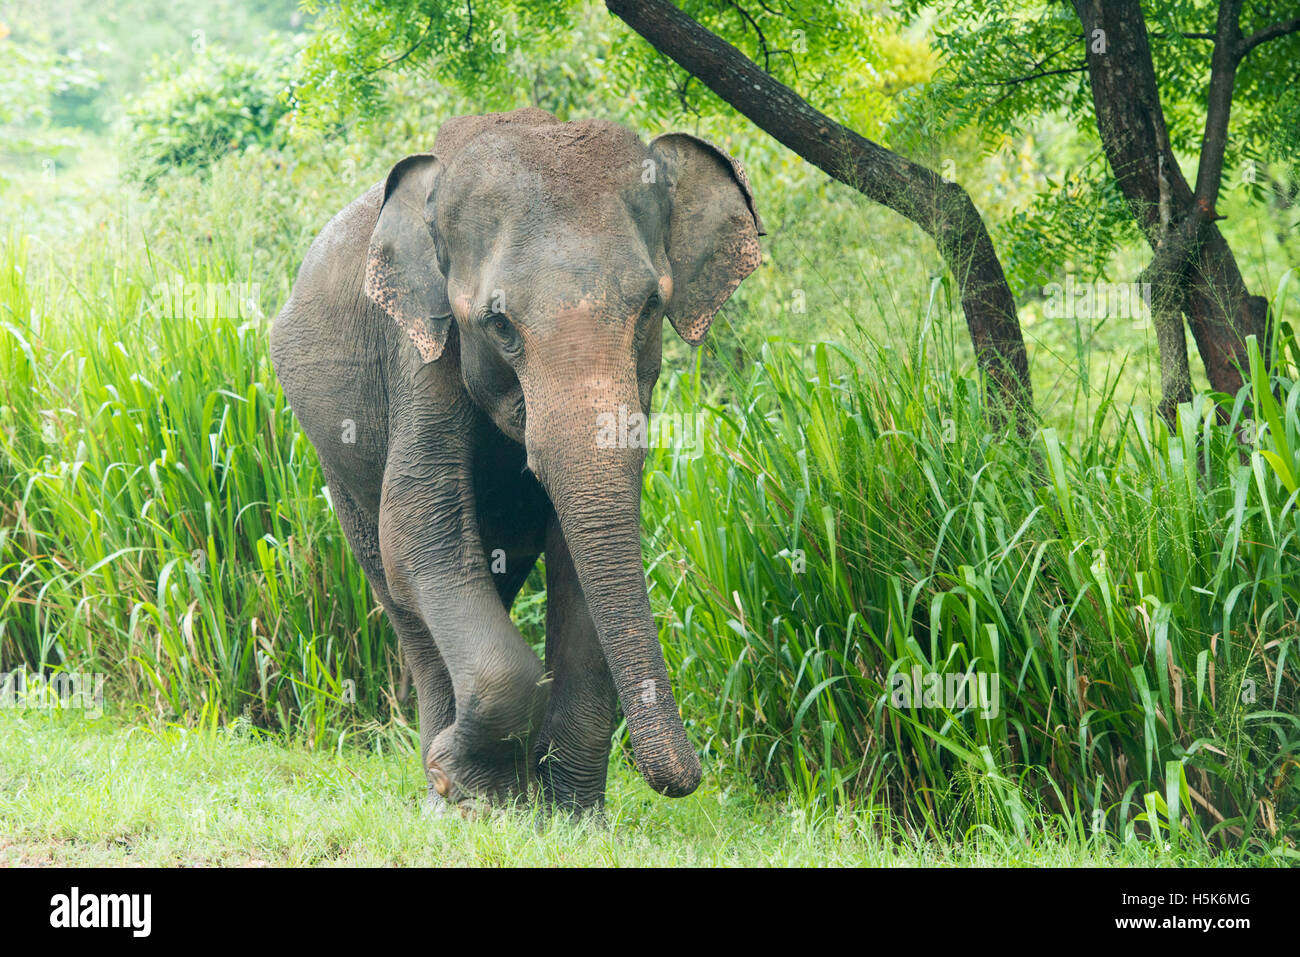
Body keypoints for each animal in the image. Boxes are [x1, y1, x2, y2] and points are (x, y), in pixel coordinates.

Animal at [269, 107, 764, 813]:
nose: (687, 780)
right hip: (334, 461)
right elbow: (417, 526)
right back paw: (445, 793)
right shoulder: (421, 350)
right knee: (397, 587)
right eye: (498, 324)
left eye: (650, 308)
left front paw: (572, 816)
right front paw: (471, 787)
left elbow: (581, 550)